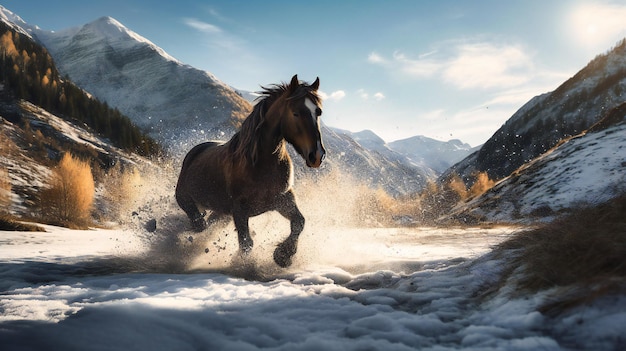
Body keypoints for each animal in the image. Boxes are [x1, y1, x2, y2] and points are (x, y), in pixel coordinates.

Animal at [173, 74, 324, 266]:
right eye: (295, 112)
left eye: (318, 112)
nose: (317, 156)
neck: (260, 166)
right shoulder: (240, 210)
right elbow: (246, 243)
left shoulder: (283, 199)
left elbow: (299, 222)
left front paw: (283, 256)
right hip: (187, 202)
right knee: (199, 224)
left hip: (222, 214)